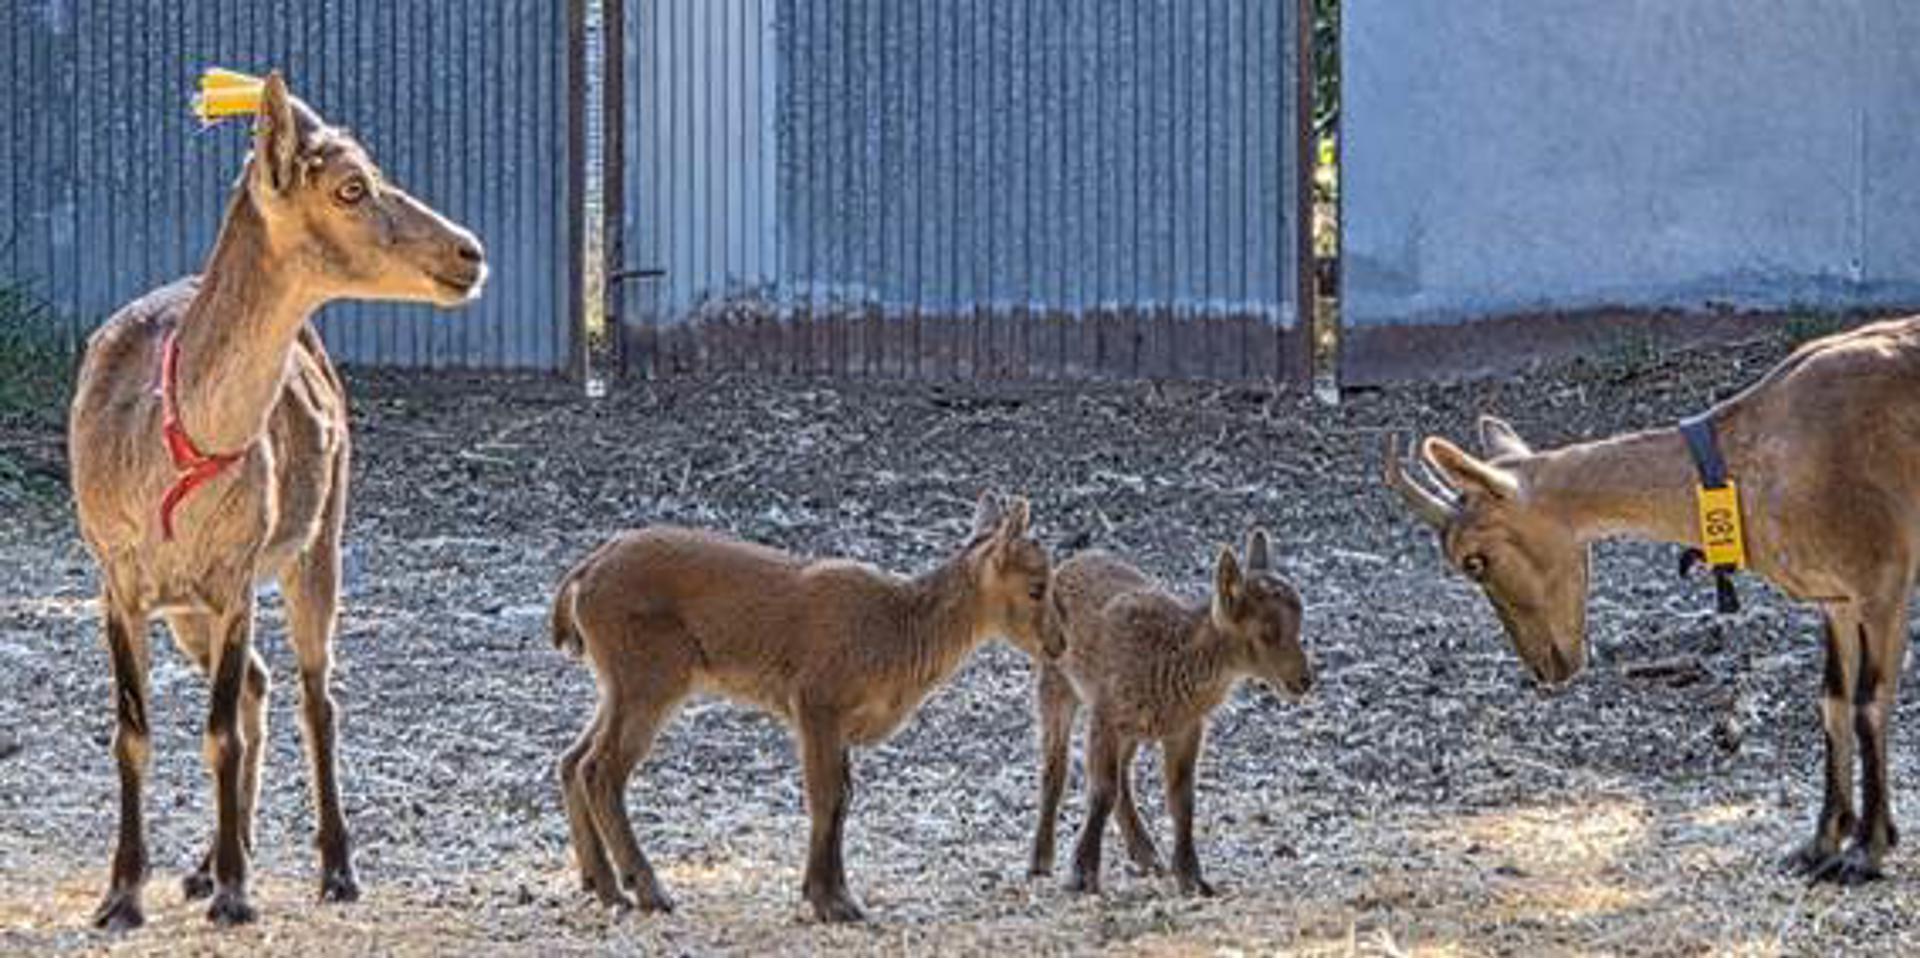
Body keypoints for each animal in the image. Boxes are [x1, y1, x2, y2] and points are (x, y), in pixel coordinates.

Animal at [67, 72, 485, 929]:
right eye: (351, 185)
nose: (470, 252)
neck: (172, 451)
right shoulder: (114, 575)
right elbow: (133, 730)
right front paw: (122, 894)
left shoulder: (237, 569)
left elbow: (218, 730)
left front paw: (236, 893)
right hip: (189, 609)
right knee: (260, 682)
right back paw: (204, 864)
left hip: (318, 542)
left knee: (313, 694)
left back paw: (331, 868)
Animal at [548, 493, 1053, 922]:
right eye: (1036, 587)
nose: (1057, 644)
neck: (895, 632)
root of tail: (581, 577)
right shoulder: (814, 702)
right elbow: (824, 796)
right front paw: (829, 903)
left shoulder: (839, 723)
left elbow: (843, 798)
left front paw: (839, 896)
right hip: (651, 677)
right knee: (601, 769)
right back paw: (648, 891)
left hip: (619, 683)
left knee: (573, 759)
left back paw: (602, 885)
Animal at [1029, 531, 1311, 896]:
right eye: (1267, 631)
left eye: (1298, 623)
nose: (1304, 680)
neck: (1173, 659)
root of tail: (1068, 564)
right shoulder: (1106, 713)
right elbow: (1102, 789)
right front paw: (1083, 873)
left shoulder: (1186, 728)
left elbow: (1181, 796)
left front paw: (1192, 877)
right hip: (1055, 681)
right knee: (1056, 767)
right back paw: (1040, 861)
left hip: (1133, 728)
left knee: (1124, 773)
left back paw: (1146, 854)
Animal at [1385, 317, 1920, 883]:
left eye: (1473, 561)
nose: (1548, 667)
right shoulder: (1836, 598)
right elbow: (1833, 703)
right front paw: (1820, 844)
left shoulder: (1883, 579)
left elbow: (1868, 705)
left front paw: (1868, 851)